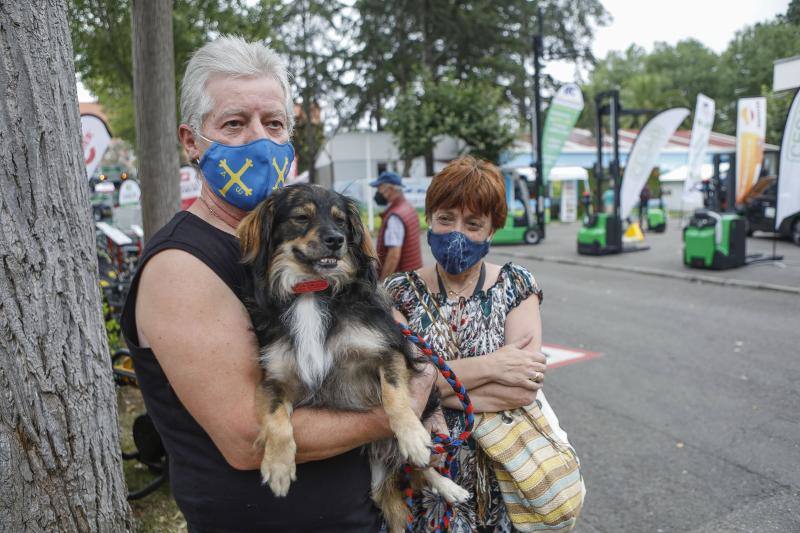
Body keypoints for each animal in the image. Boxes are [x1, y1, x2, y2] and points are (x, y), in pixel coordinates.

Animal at [234, 183, 468, 528]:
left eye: (341, 221)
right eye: (301, 217)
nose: (336, 240)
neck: (312, 291)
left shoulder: (387, 351)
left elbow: (395, 396)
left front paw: (411, 437)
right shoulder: (277, 380)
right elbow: (276, 420)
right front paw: (278, 466)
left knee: (423, 468)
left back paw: (448, 485)